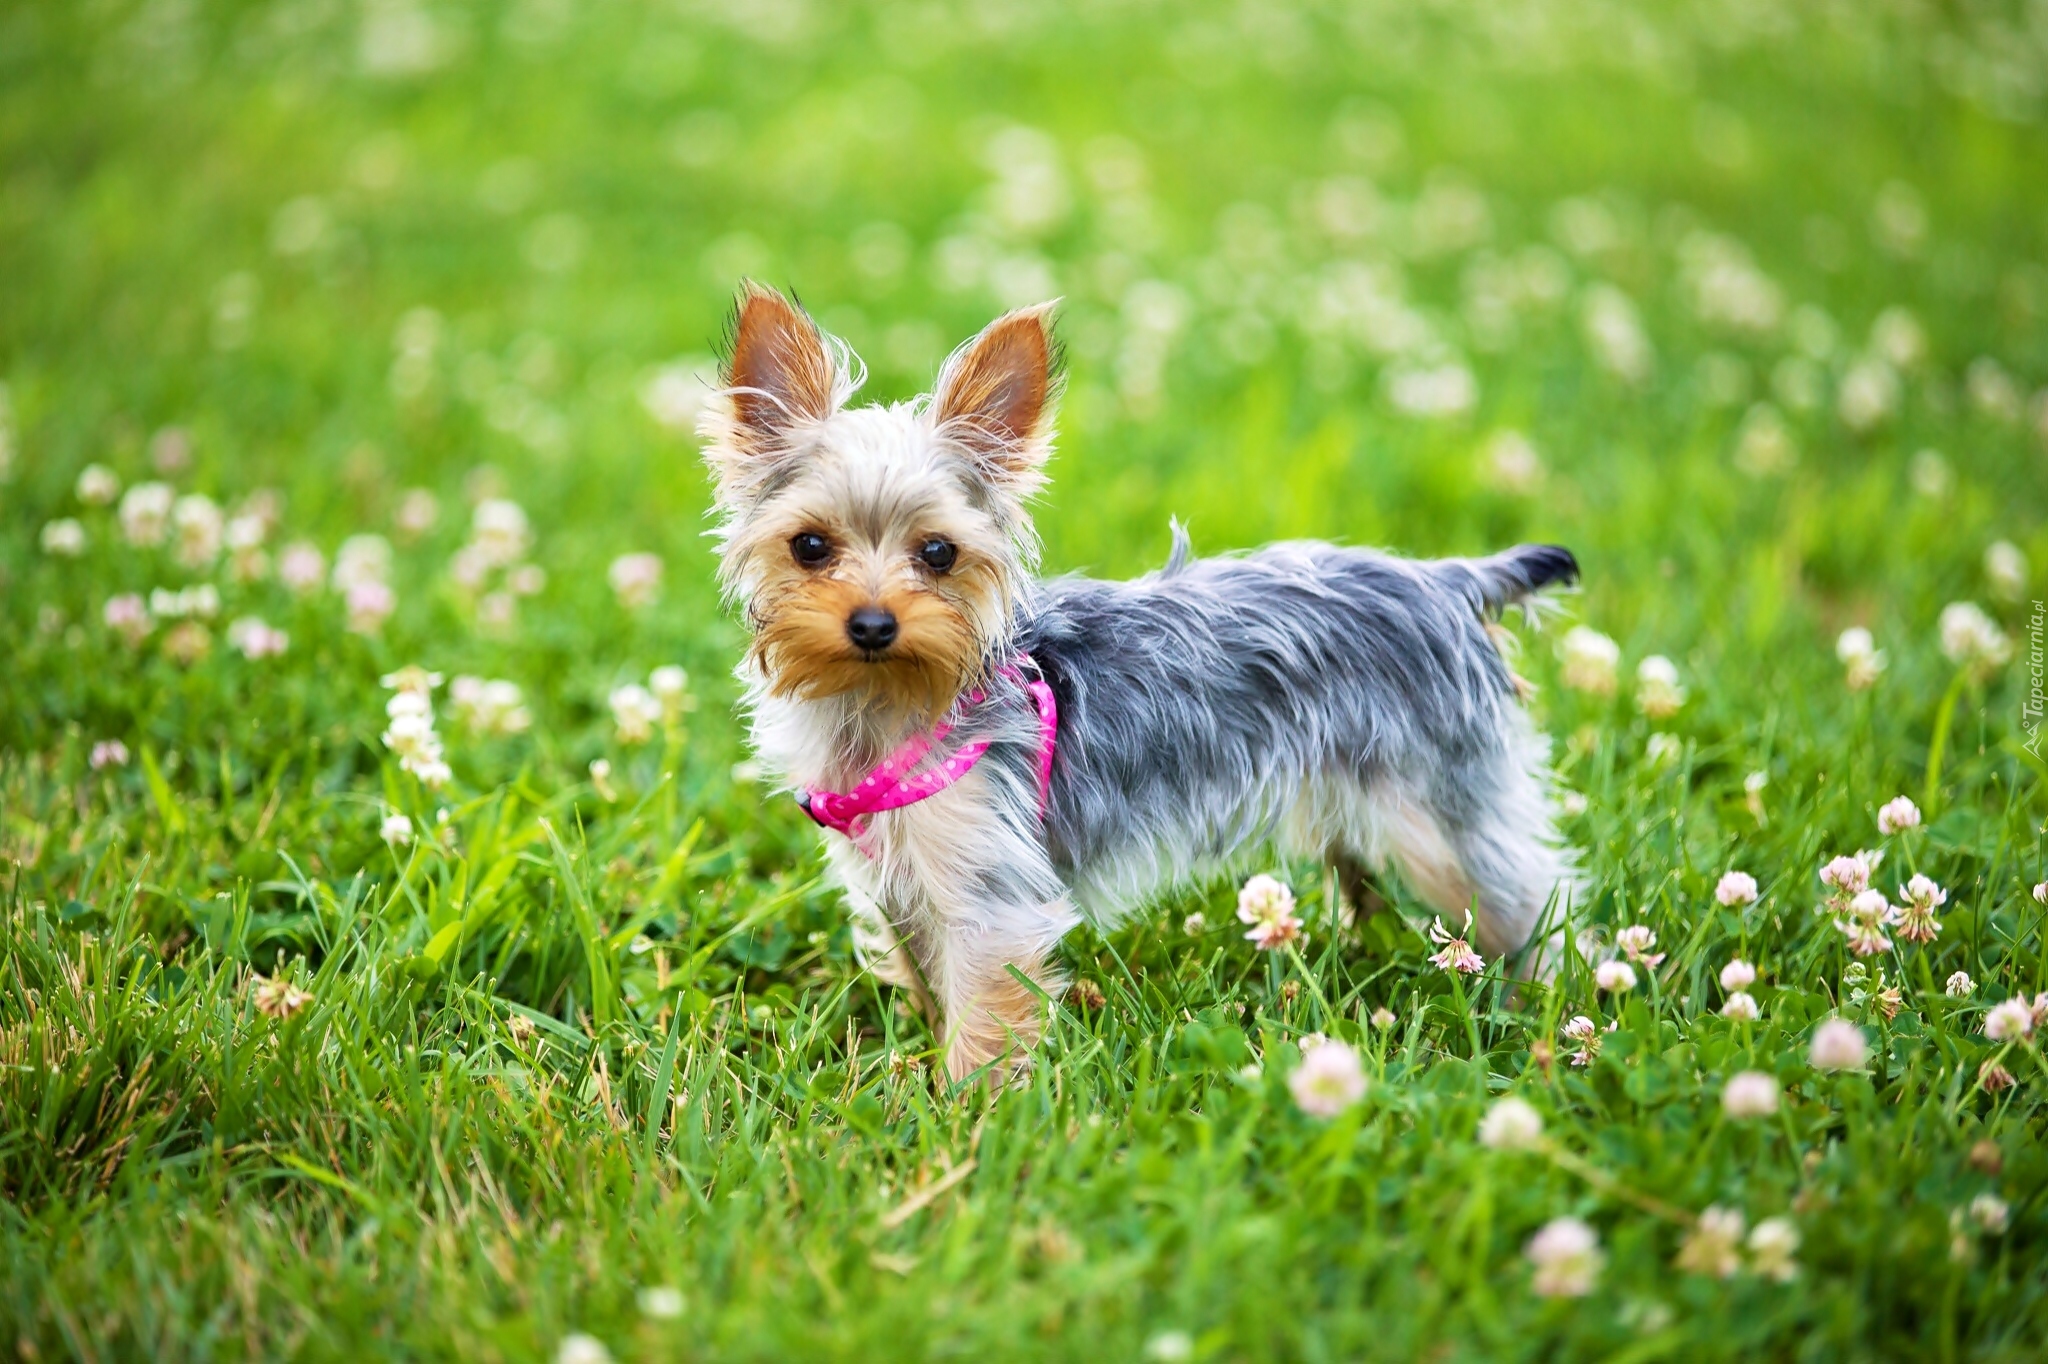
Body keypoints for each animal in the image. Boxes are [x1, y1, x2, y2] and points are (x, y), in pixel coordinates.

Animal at [704, 280, 1581, 1081]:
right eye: (809, 546)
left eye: (939, 553)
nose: (873, 625)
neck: (887, 699)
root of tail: (1449, 581)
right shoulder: (898, 881)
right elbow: (926, 977)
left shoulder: (989, 891)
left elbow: (983, 1018)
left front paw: (963, 1115)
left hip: (1441, 814)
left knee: (1529, 897)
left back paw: (1548, 1001)